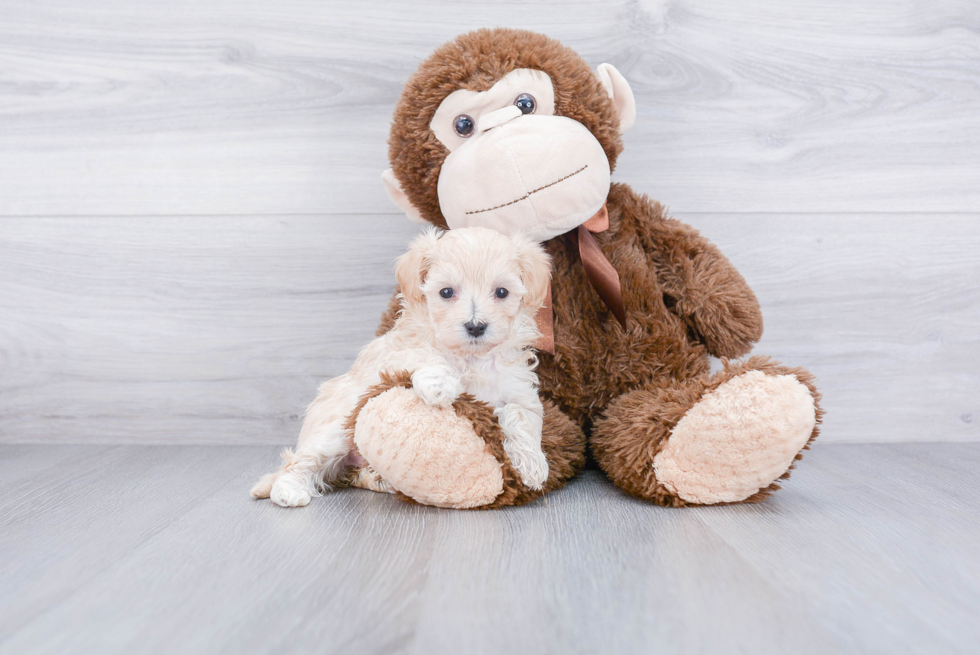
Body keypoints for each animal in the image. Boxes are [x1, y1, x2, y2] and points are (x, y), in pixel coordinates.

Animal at [251, 228, 552, 510]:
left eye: (502, 292)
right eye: (446, 292)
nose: (475, 326)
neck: (471, 357)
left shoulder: (520, 391)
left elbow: (521, 416)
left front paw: (532, 465)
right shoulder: (394, 358)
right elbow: (423, 355)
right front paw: (439, 384)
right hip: (334, 433)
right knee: (298, 463)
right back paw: (288, 490)